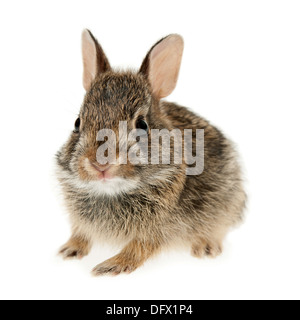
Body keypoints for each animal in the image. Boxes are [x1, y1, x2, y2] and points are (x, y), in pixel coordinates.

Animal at [56, 28, 246, 276]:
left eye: (142, 124)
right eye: (77, 123)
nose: (100, 164)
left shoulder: (159, 228)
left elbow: (140, 247)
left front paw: (111, 266)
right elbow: (81, 232)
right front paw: (69, 249)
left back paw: (206, 247)